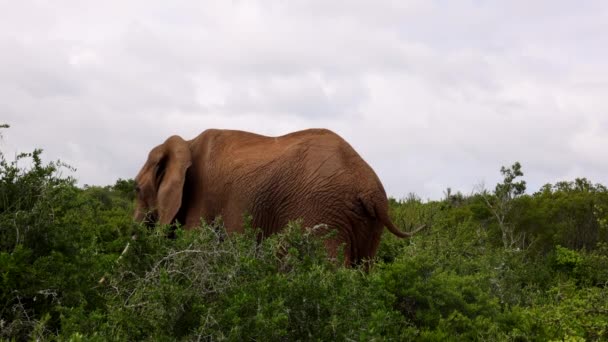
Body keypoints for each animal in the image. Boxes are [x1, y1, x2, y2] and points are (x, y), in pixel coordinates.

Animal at [135, 128, 426, 264]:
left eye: (136, 189)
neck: (186, 143)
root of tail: (371, 190)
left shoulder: (202, 198)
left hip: (324, 211)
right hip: (368, 225)